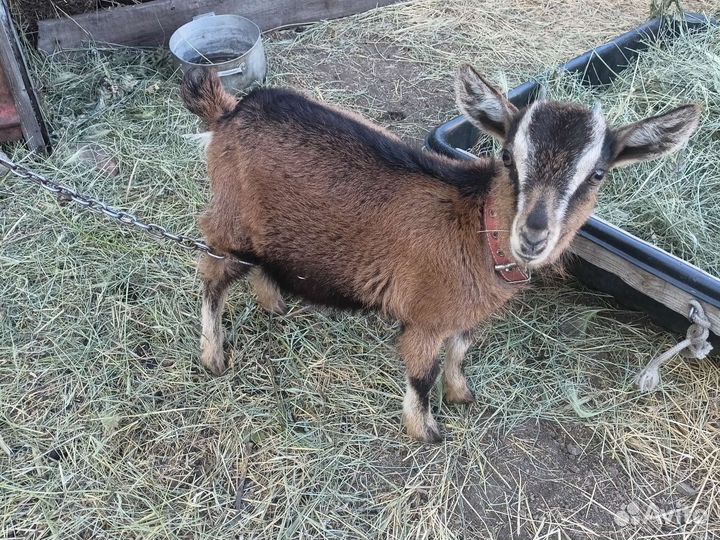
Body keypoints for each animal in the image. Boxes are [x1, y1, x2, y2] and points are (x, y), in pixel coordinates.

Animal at [180, 65, 699, 442]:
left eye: (598, 174)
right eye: (507, 157)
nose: (533, 236)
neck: (479, 232)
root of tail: (228, 112)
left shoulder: (466, 313)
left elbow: (462, 351)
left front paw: (461, 394)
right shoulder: (426, 318)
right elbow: (421, 374)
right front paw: (426, 431)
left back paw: (274, 303)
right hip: (229, 224)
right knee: (210, 276)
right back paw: (212, 355)